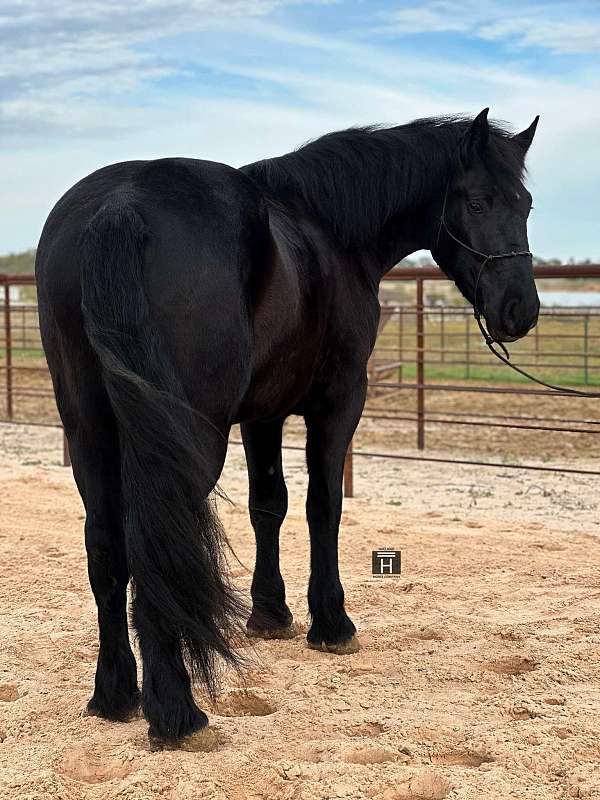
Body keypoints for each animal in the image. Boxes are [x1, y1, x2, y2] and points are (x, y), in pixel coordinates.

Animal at [35, 109, 540, 748]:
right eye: (476, 201)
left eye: (525, 203)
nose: (521, 309)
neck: (328, 229)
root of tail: (119, 207)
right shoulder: (339, 401)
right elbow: (322, 505)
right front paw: (331, 622)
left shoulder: (263, 412)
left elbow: (267, 504)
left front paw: (270, 614)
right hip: (186, 440)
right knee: (162, 541)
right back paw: (176, 710)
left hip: (91, 434)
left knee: (106, 549)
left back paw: (115, 694)